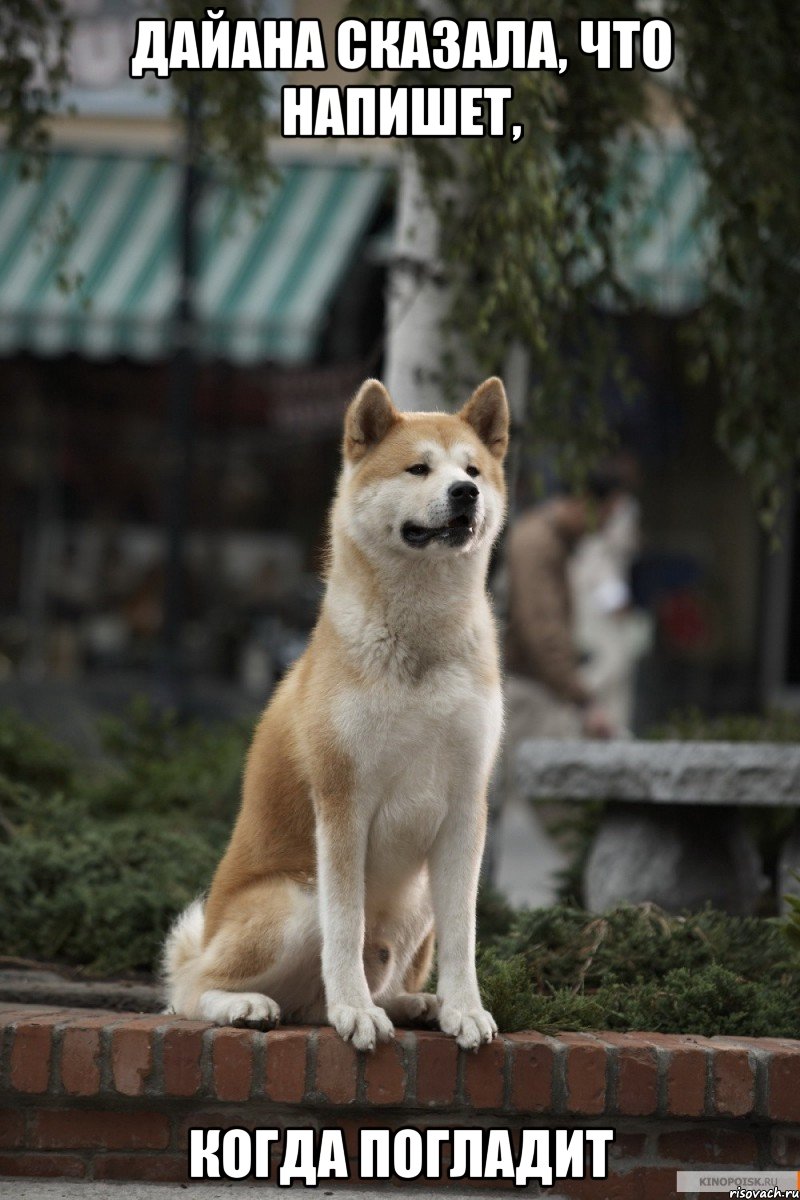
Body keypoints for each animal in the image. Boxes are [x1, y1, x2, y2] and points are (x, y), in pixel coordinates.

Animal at [165, 374, 510, 1051]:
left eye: (473, 470)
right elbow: (346, 928)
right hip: (295, 900)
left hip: (417, 900)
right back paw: (250, 1005)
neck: (420, 643)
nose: (465, 493)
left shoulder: (466, 806)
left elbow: (464, 935)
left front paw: (464, 1009)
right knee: (189, 990)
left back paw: (415, 1003)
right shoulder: (343, 801)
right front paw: (355, 1011)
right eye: (418, 468)